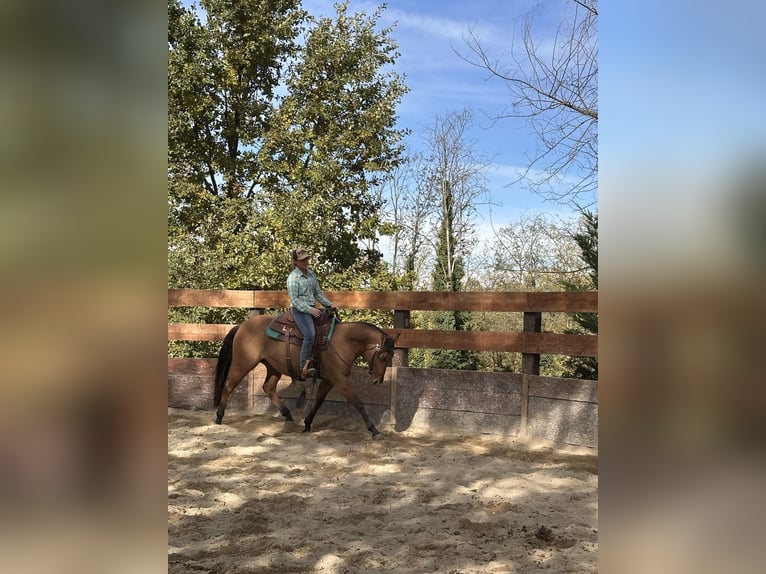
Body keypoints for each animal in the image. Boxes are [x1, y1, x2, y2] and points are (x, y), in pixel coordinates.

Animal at [213, 314, 396, 439]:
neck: (342, 341)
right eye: (382, 356)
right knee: (228, 386)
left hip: (273, 367)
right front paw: (373, 429)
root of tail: (241, 326)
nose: (378, 380)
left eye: (391, 356)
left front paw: (307, 424)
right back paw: (219, 417)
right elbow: (357, 402)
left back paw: (288, 415)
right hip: (243, 363)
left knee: (268, 388)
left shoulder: (329, 380)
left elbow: (318, 401)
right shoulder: (339, 379)